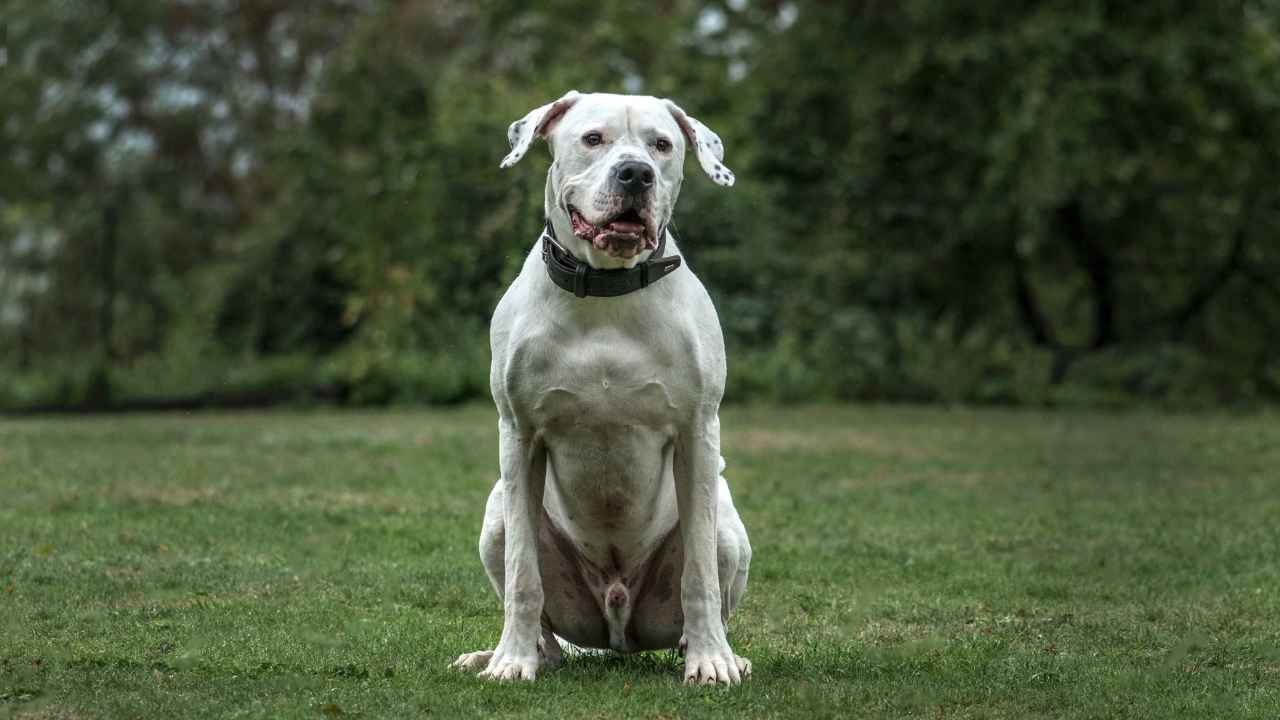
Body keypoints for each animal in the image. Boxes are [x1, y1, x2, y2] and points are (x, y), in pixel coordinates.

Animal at [450, 89, 747, 681]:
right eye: (593, 139)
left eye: (662, 144)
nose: (636, 173)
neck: (608, 292)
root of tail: (617, 632)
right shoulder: (519, 437)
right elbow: (523, 574)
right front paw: (511, 662)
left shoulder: (698, 435)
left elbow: (699, 574)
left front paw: (710, 663)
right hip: (495, 514)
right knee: (539, 613)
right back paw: (507, 653)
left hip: (728, 521)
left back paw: (716, 650)